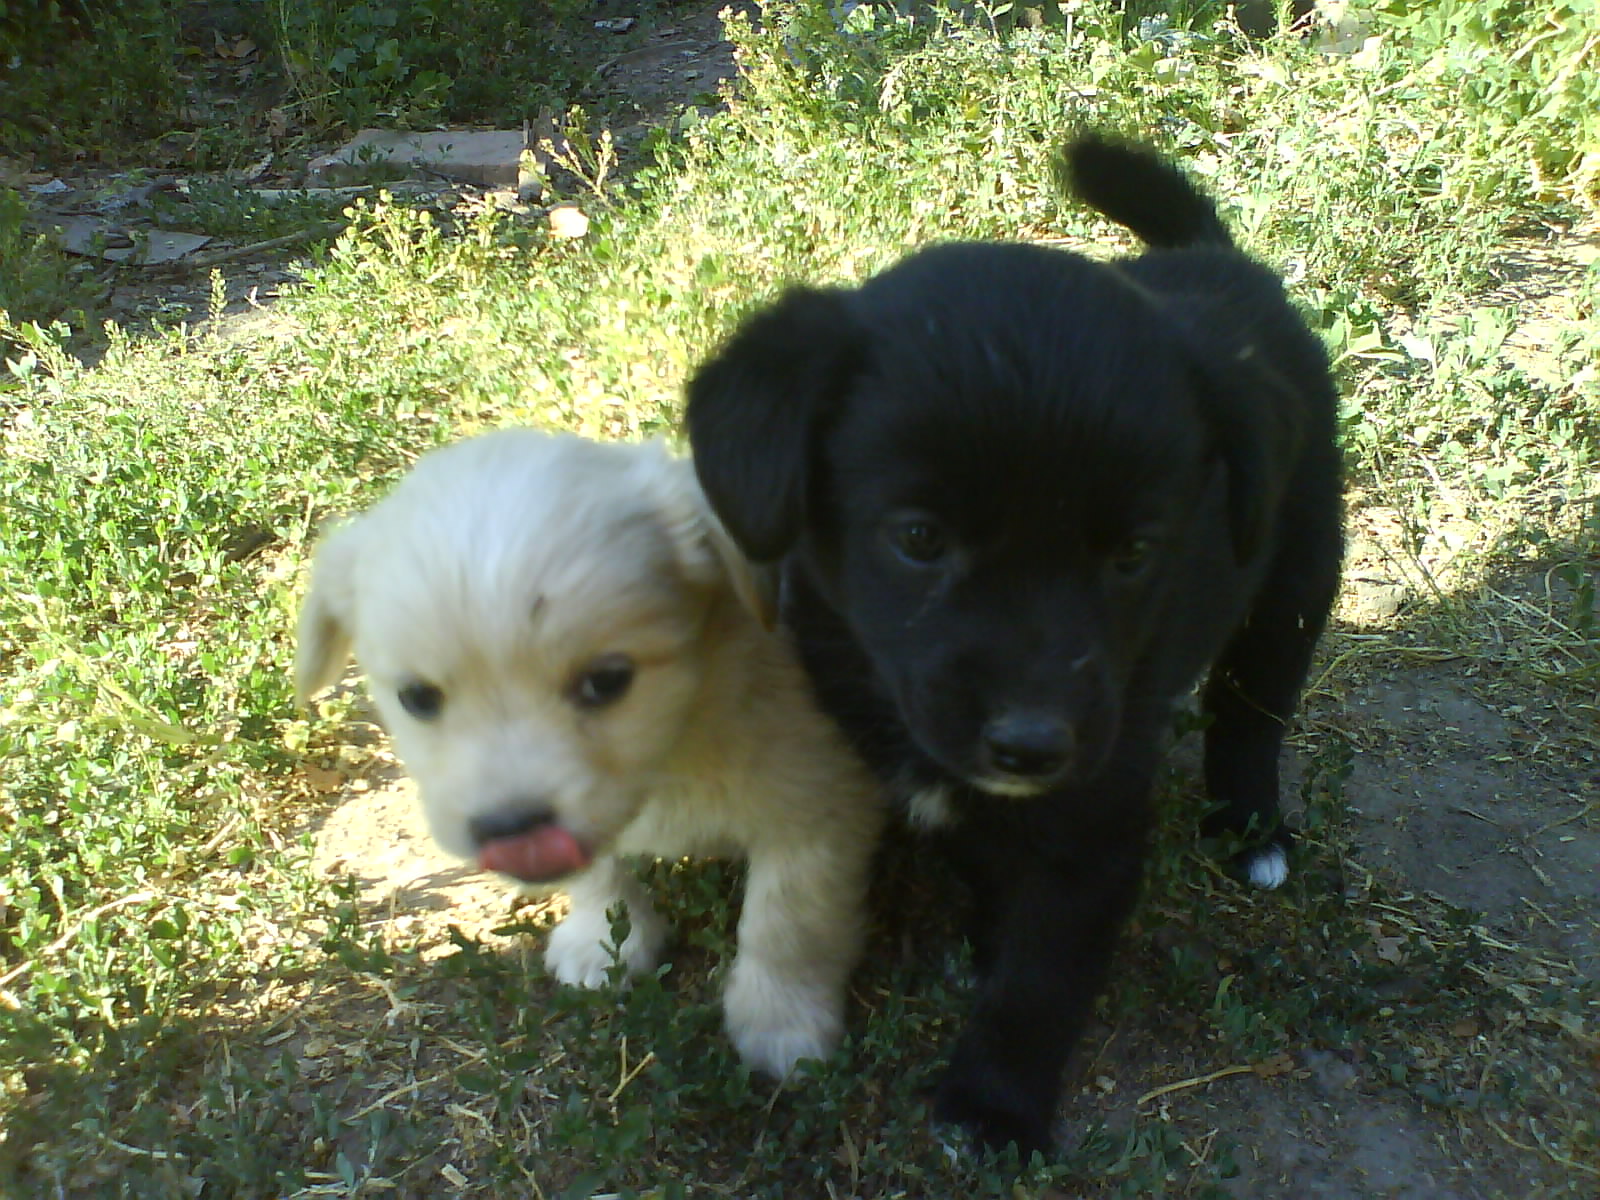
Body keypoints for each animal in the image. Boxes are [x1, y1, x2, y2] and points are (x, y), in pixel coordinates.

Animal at [295, 429, 885, 1079]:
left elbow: (788, 923)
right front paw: (605, 943)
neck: (675, 751)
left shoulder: (818, 808)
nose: (513, 829)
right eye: (418, 697)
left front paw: (781, 1021)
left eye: (606, 681)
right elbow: (600, 875)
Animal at [685, 135, 1344, 1153]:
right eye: (919, 538)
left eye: (1135, 555)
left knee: (1253, 711)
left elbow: (1042, 976)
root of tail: (1219, 261)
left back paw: (1250, 828)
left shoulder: (1093, 820)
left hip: (1295, 578)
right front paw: (984, 936)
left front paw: (993, 1106)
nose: (1033, 745)